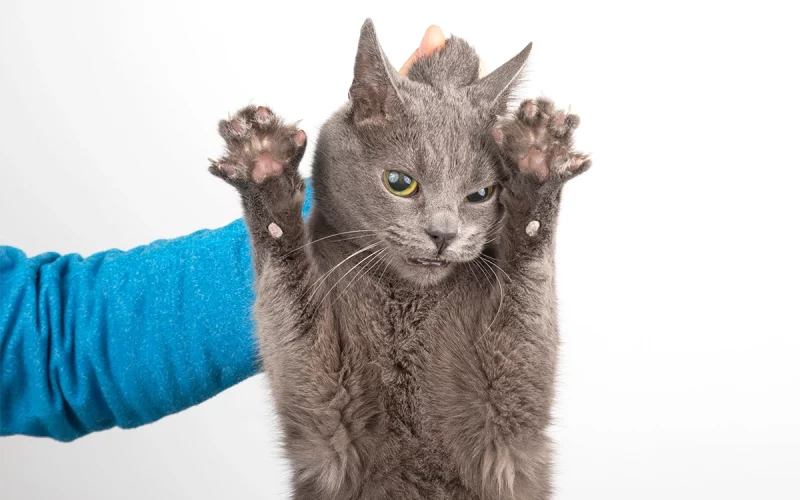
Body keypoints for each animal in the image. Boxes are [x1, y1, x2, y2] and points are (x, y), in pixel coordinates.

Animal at [209, 18, 592, 500]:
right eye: (399, 182)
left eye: (482, 194)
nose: (443, 234)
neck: (407, 299)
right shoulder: (329, 426)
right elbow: (290, 304)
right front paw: (263, 164)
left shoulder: (506, 434)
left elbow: (527, 295)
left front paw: (538, 157)